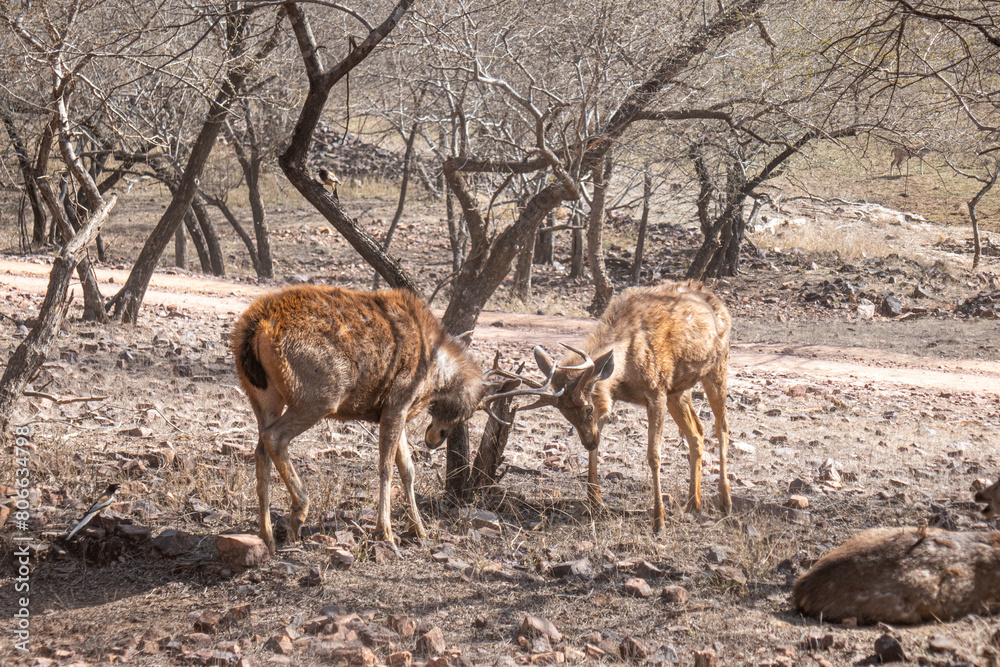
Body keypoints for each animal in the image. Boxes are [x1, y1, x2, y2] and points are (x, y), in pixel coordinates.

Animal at [234, 288, 484, 552]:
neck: (437, 373)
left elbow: (408, 468)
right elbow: (386, 467)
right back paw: (299, 510)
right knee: (274, 437)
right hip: (320, 395)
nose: (435, 439)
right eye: (467, 412)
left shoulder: (393, 410)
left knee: (261, 452)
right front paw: (385, 531)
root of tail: (254, 329)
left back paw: (267, 536)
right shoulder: (398, 401)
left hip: (263, 396)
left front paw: (419, 529)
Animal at [488, 282, 732, 532]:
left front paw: (659, 520)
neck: (626, 369)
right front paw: (594, 502)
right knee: (697, 433)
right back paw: (694, 503)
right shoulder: (613, 394)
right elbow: (597, 449)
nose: (588, 441)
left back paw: (725, 501)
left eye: (588, 409)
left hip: (717, 365)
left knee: (721, 427)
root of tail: (715, 298)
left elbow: (653, 455)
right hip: (679, 390)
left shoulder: (657, 390)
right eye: (566, 415)